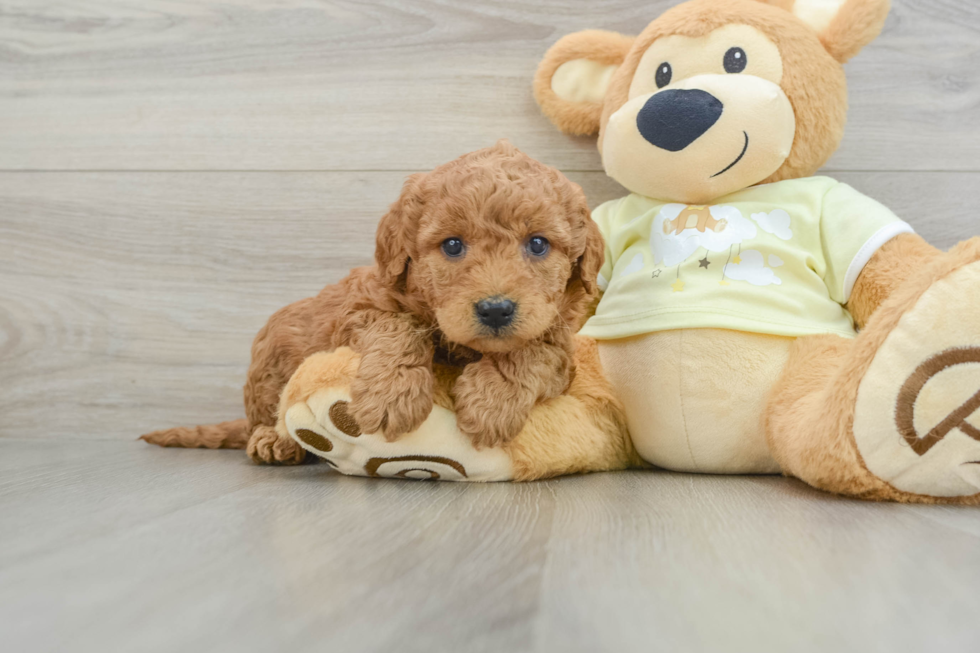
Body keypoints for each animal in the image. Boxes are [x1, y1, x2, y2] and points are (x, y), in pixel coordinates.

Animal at [144, 140, 604, 460]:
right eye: (453, 245)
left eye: (538, 244)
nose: (495, 309)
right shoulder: (363, 305)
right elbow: (396, 328)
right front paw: (391, 397)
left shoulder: (559, 343)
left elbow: (530, 351)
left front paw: (492, 403)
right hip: (270, 359)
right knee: (269, 411)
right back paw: (276, 440)